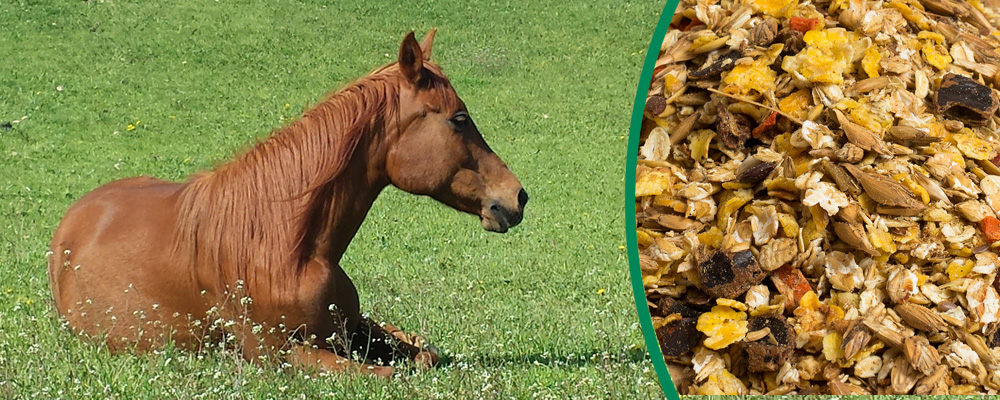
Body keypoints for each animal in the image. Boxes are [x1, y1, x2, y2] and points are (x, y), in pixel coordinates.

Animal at [47, 29, 528, 376]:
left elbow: (424, 353)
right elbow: (389, 373)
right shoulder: (278, 354)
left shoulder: (353, 328)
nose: (516, 197)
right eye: (459, 119)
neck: (285, 246)